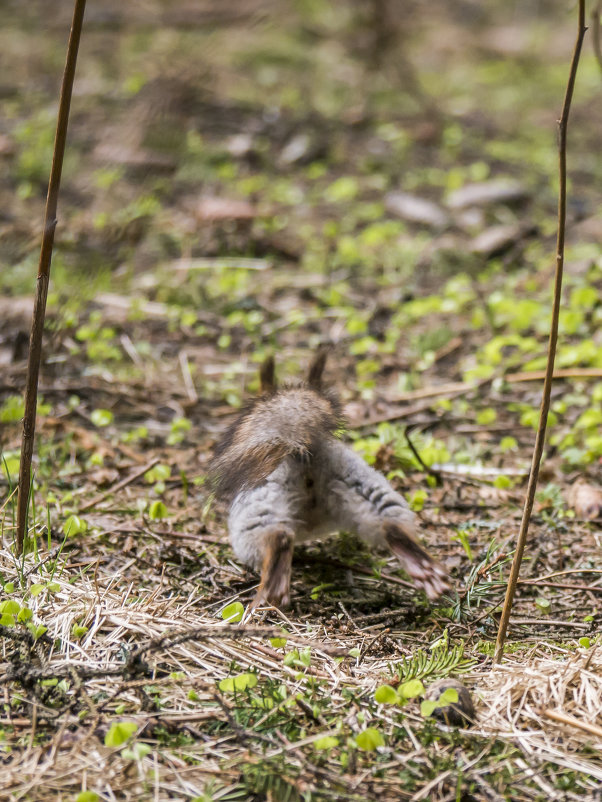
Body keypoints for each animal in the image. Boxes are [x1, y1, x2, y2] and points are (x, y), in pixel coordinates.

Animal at [209, 350, 448, 608]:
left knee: (277, 536)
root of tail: (302, 454)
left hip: (257, 511)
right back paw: (424, 571)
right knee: (391, 525)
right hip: (361, 485)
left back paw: (274, 589)